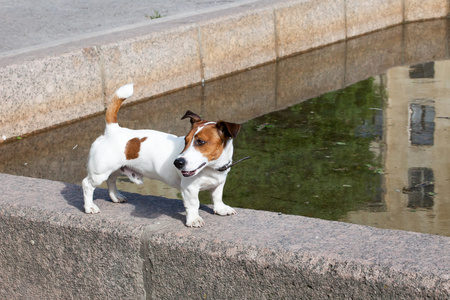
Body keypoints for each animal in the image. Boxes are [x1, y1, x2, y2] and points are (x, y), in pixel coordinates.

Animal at [82, 83, 241, 226]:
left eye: (201, 142)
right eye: (186, 140)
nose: (177, 163)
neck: (211, 168)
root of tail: (113, 130)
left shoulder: (219, 182)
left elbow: (217, 196)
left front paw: (220, 209)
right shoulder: (189, 189)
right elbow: (193, 204)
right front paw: (193, 219)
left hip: (115, 168)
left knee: (111, 180)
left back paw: (116, 197)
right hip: (99, 172)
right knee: (87, 184)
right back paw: (89, 207)